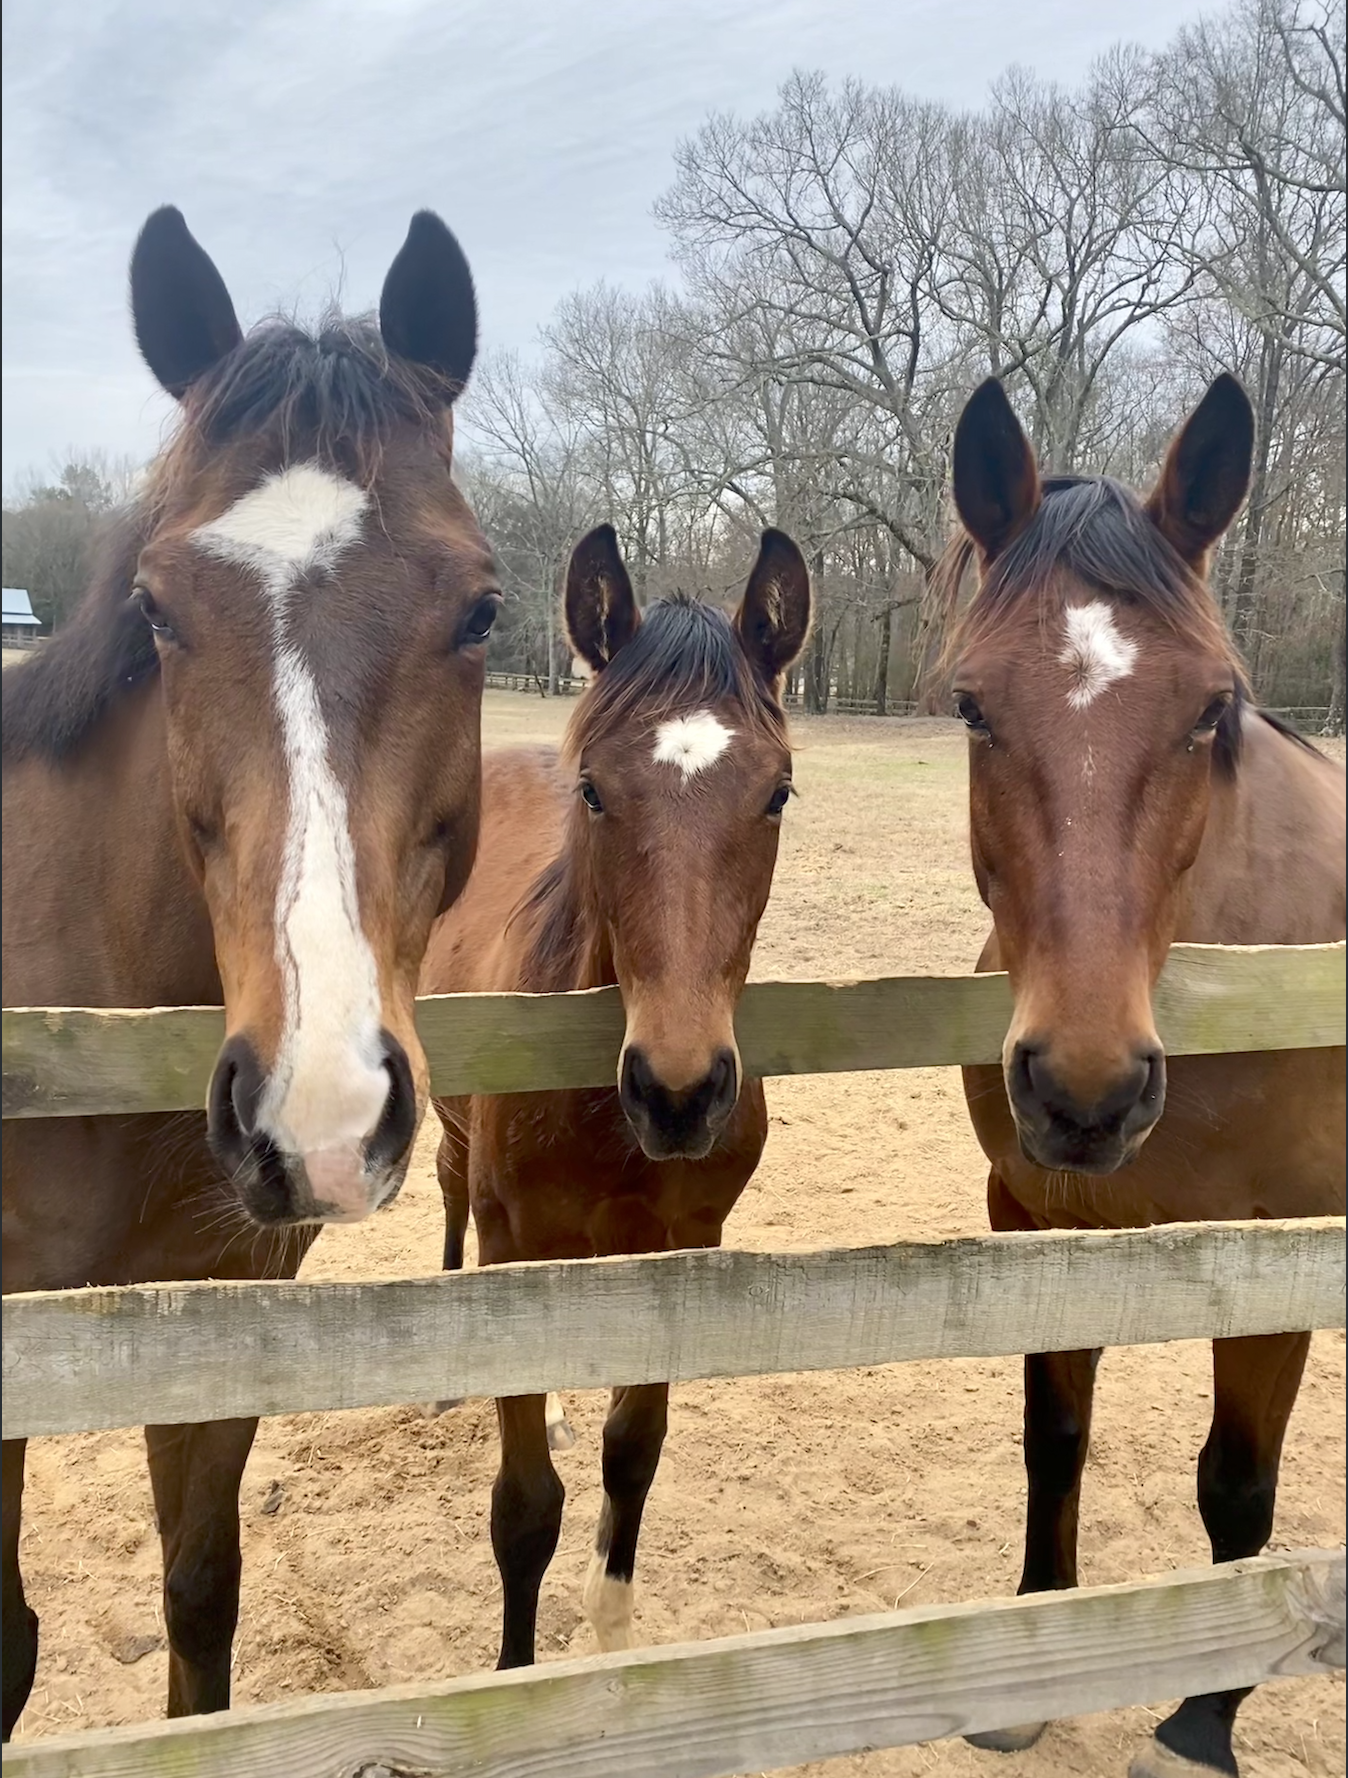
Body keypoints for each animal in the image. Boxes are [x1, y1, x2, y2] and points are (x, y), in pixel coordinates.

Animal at [420, 522, 811, 1669]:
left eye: (777, 792)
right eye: (594, 789)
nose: (678, 1092)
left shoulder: (681, 1249)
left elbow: (631, 1454)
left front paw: (613, 1637)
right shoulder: (516, 1242)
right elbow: (524, 1509)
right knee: (446, 1195)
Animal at [941, 374, 1345, 1778]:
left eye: (1209, 706)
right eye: (972, 705)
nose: (1087, 1091)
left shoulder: (1277, 1256)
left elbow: (1238, 1481)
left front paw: (1199, 1721)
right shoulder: (1038, 1217)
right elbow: (1051, 1438)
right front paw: (1025, 1673)